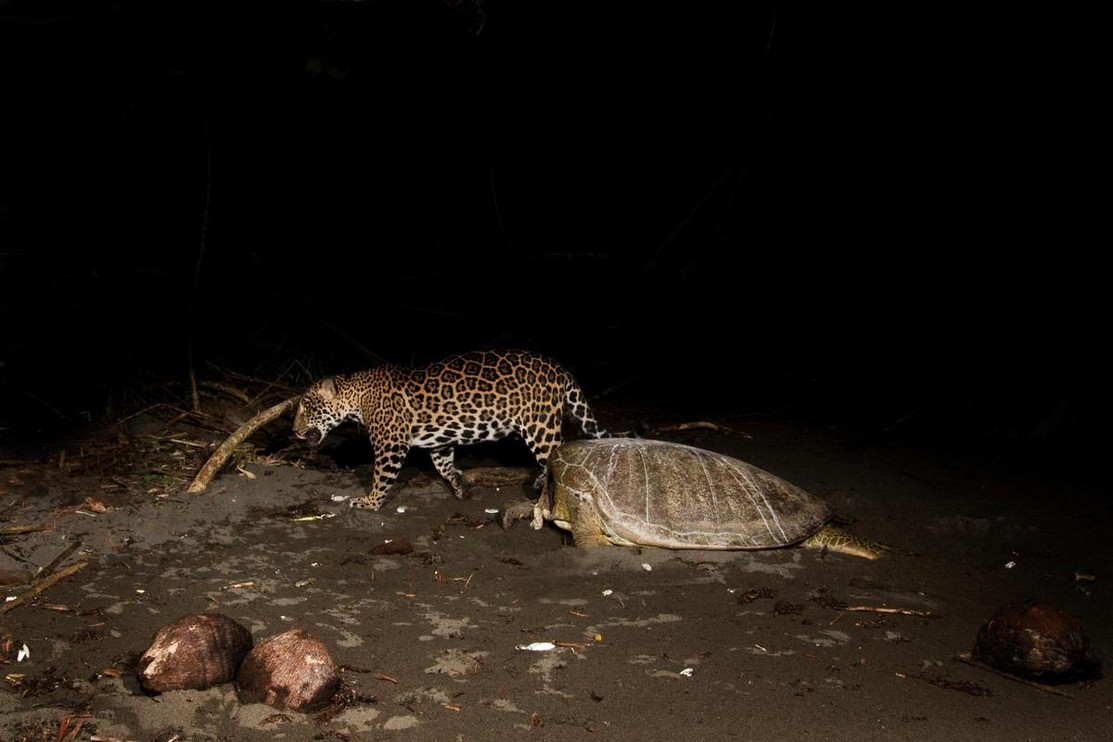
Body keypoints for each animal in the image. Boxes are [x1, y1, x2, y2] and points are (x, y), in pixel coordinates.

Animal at [293, 350, 607, 510]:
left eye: (306, 408)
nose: (293, 431)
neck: (357, 398)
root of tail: (558, 367)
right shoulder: (438, 442)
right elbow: (443, 464)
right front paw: (457, 485)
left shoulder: (390, 445)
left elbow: (381, 477)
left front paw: (370, 501)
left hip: (540, 426)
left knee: (556, 452)